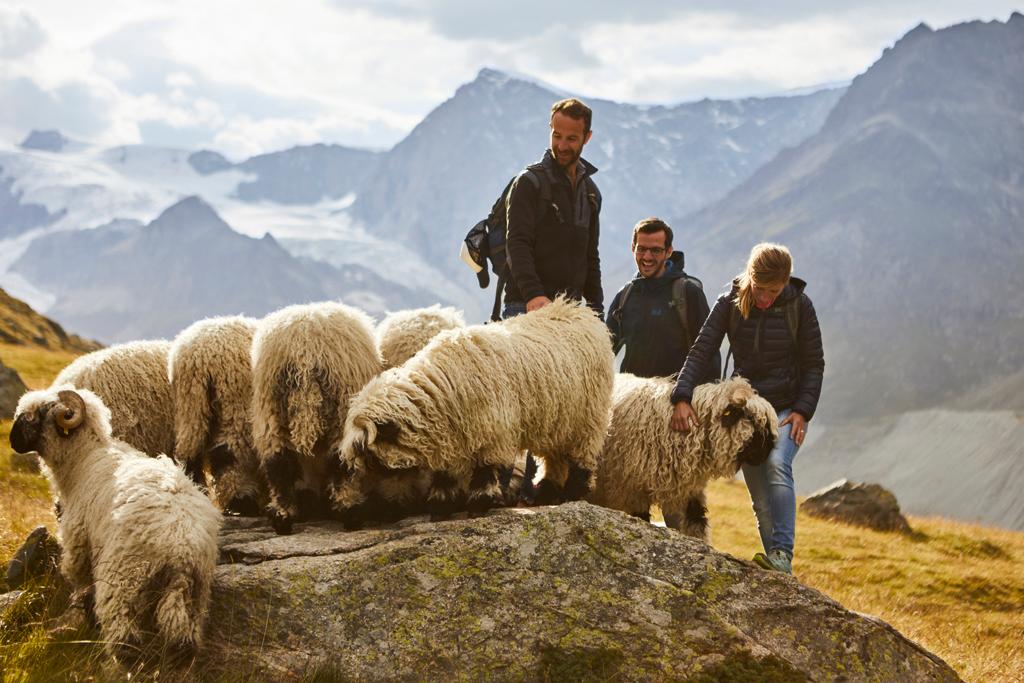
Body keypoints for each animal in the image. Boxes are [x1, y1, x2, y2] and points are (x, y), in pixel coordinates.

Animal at [9, 387, 221, 663]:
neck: (83, 457)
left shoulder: (78, 540)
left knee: (123, 632)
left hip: (122, 576)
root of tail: (180, 547)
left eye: (36, 415)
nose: (12, 441)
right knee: (185, 634)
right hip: (196, 590)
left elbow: (80, 577)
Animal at [167, 317, 266, 516]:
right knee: (230, 451)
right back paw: (242, 502)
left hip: (191, 406)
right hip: (234, 401)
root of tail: (198, 356)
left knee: (190, 452)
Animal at [251, 303, 385, 532]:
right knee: (340, 459)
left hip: (271, 408)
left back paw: (283, 516)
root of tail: (304, 347)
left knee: (278, 460)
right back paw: (349, 512)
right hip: (343, 406)